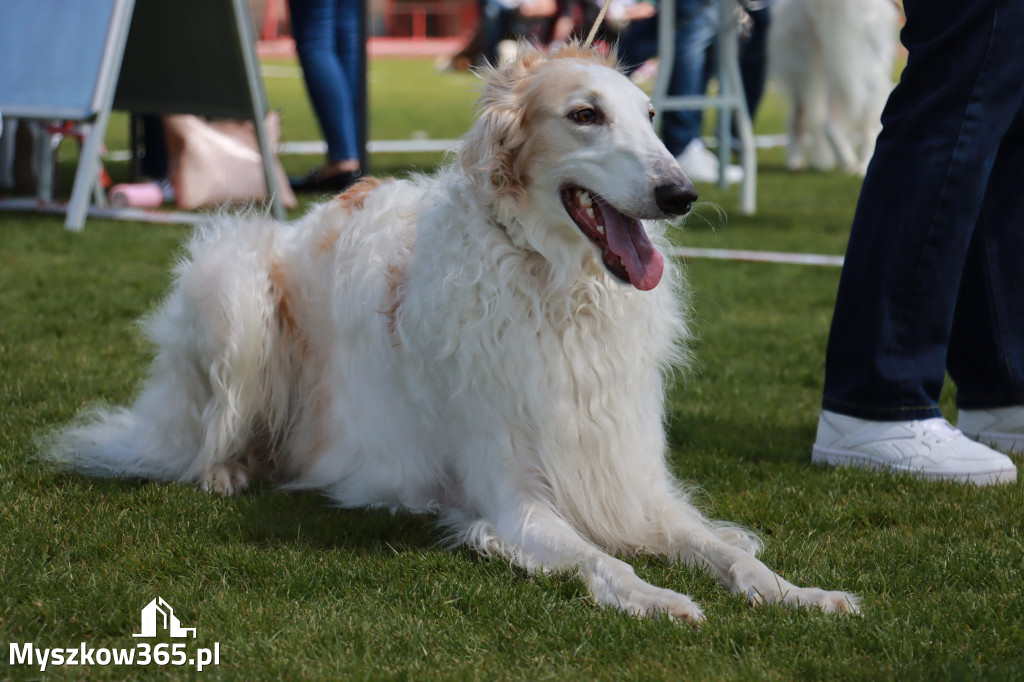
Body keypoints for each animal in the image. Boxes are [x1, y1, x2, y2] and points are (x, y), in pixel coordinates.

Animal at [51, 43, 860, 622]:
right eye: (585, 114)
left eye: (653, 115)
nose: (681, 194)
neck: (558, 294)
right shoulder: (514, 499)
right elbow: (607, 561)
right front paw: (657, 597)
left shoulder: (632, 483)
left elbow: (727, 551)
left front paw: (801, 593)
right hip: (233, 283)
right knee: (203, 439)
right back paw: (227, 469)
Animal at [770, 0, 901, 175]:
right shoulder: (833, 70)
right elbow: (829, 125)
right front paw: (847, 159)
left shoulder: (871, 71)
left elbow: (869, 128)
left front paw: (864, 164)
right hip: (804, 76)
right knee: (797, 120)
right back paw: (795, 160)